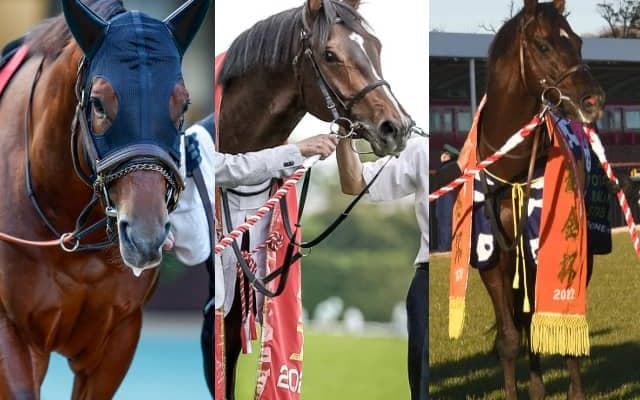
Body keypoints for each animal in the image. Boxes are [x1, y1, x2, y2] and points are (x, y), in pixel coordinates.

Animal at [475, 0, 604, 398]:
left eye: (578, 41)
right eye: (544, 45)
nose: (593, 100)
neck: (512, 168)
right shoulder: (492, 258)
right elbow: (509, 339)